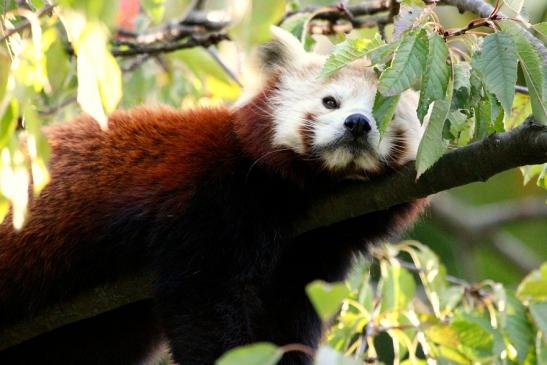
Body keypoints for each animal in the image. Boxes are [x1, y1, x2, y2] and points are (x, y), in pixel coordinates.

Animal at [0, 27, 428, 362]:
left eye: (387, 111)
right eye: (330, 102)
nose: (357, 124)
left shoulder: (310, 253)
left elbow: (284, 324)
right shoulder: (212, 200)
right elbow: (205, 301)